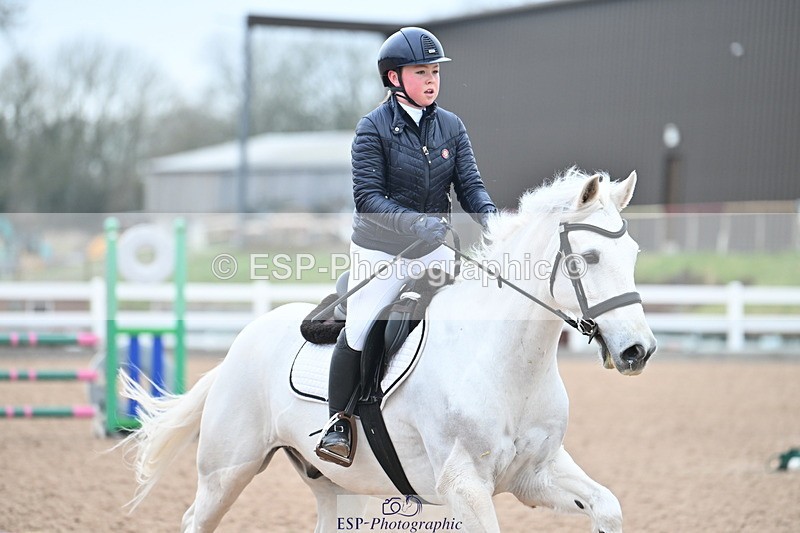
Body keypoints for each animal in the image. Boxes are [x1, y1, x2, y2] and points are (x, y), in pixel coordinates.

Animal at [121, 168, 657, 533]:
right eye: (587, 258)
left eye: (632, 255)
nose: (639, 351)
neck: (508, 363)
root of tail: (238, 346)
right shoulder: (464, 486)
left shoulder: (536, 474)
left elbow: (607, 507)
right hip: (226, 471)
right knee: (196, 518)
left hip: (336, 485)